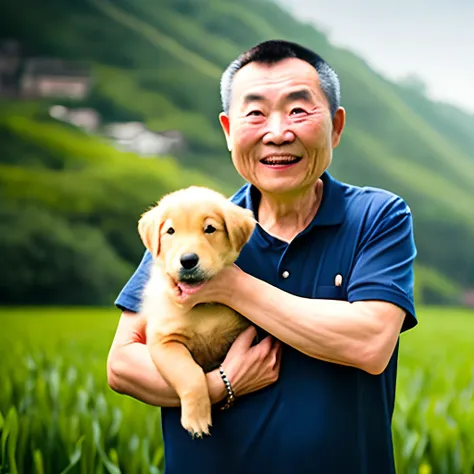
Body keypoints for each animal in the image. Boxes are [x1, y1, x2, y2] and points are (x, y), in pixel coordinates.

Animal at [137, 187, 256, 438]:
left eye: (209, 228)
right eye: (170, 231)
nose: (188, 260)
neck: (201, 306)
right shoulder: (164, 341)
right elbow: (190, 373)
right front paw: (197, 419)